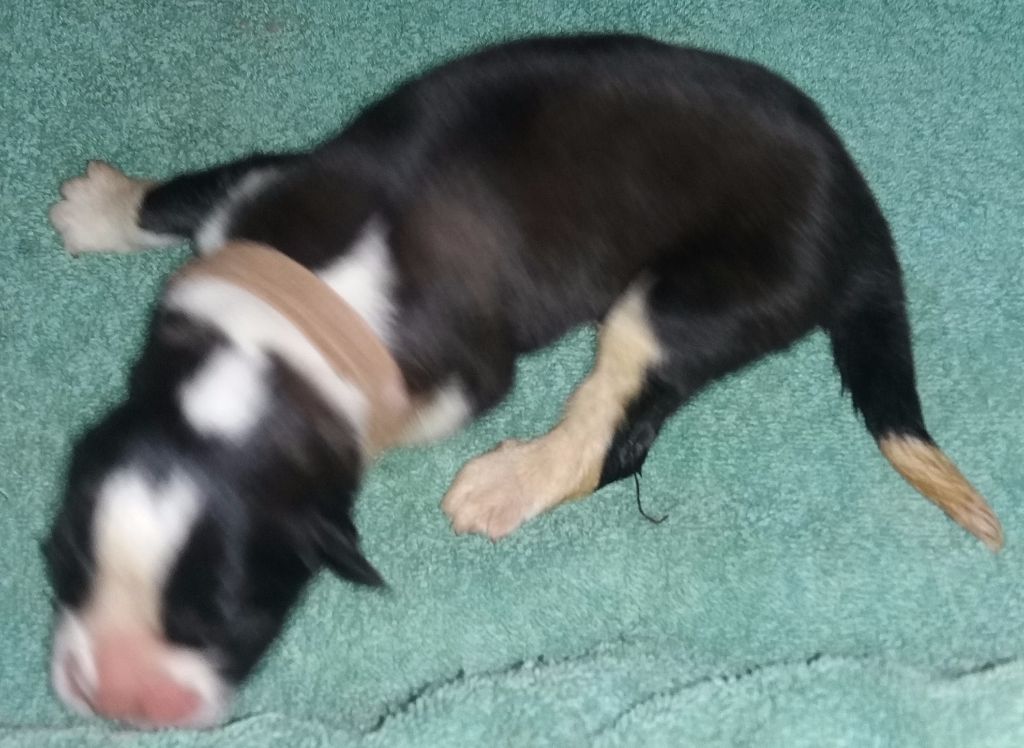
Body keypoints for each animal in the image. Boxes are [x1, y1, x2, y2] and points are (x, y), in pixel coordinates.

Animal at [44, 33, 1003, 728]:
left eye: (228, 619)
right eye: (61, 563)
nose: (117, 703)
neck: (266, 352)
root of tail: (862, 215)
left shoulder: (463, 372)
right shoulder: (261, 187)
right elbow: (185, 191)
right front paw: (102, 208)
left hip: (699, 297)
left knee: (614, 433)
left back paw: (510, 481)